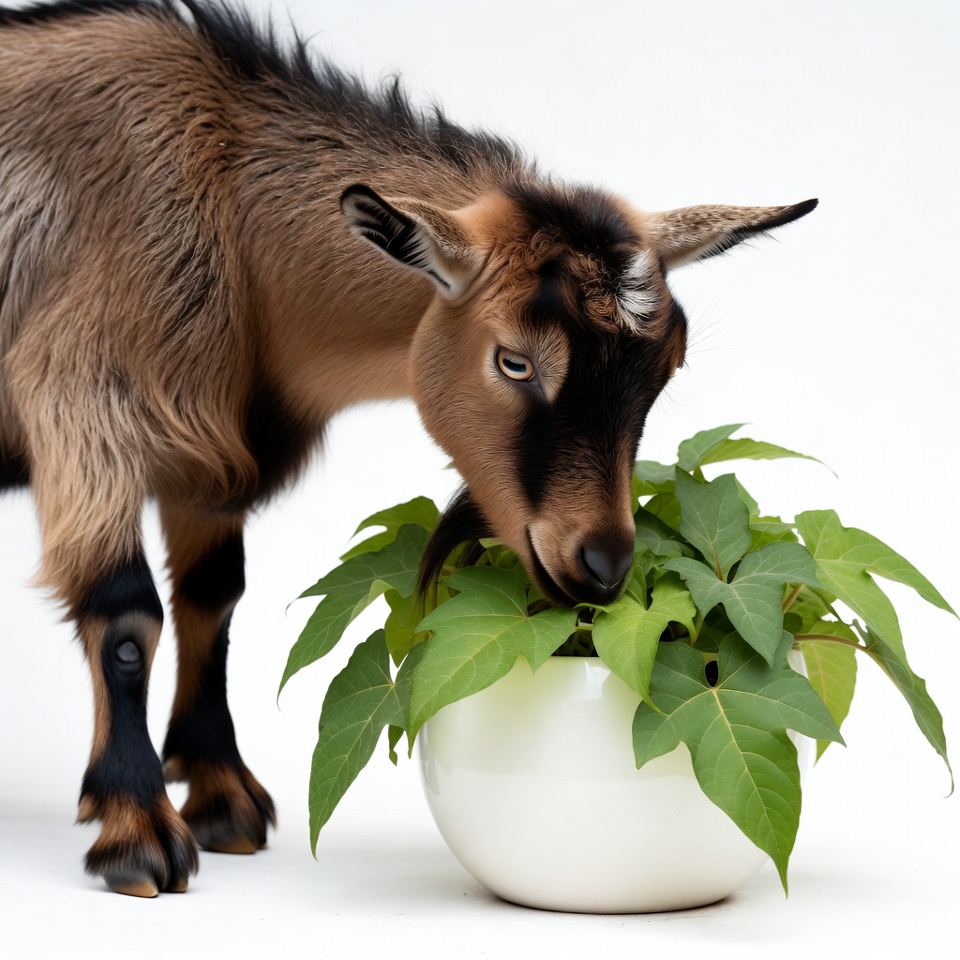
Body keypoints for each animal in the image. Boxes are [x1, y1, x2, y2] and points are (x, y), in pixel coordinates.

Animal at [0, 0, 816, 896]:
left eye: (668, 366)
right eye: (514, 361)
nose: (602, 564)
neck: (217, 192)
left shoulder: (207, 452)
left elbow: (213, 600)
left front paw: (221, 796)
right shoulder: (86, 408)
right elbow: (125, 617)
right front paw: (136, 827)